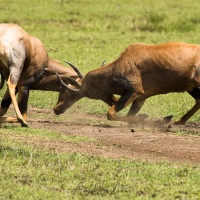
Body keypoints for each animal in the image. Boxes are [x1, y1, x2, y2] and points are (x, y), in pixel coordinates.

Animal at [56, 42, 200, 124]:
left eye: (71, 93)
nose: (56, 109)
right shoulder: (140, 97)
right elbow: (129, 116)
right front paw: (160, 119)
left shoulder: (135, 90)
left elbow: (110, 114)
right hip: (192, 87)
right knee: (198, 101)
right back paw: (179, 121)